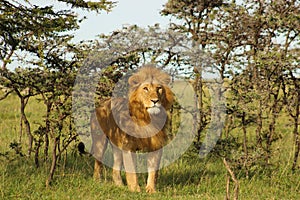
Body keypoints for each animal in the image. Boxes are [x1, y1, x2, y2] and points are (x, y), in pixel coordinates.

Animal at [90, 66, 173, 194]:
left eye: (159, 88)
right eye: (145, 88)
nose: (155, 101)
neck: (148, 118)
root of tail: (102, 102)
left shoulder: (156, 145)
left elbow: (153, 171)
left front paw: (151, 190)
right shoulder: (128, 146)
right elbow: (132, 170)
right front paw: (135, 190)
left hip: (117, 145)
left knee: (115, 168)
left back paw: (120, 186)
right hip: (100, 140)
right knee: (98, 163)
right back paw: (97, 181)